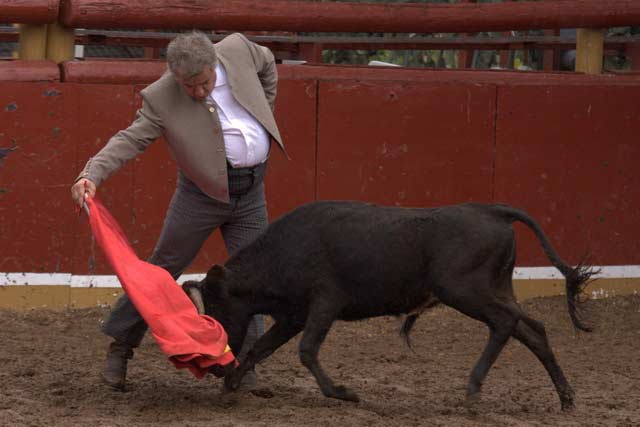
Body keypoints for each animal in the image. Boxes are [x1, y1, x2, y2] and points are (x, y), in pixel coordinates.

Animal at [181, 202, 596, 410]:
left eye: (214, 311)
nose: (214, 369)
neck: (283, 251)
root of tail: (494, 212)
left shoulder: (323, 305)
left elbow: (307, 351)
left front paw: (344, 393)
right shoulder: (292, 316)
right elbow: (260, 349)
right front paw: (232, 385)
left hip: (463, 290)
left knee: (506, 323)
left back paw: (473, 388)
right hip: (493, 288)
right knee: (533, 329)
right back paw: (566, 398)